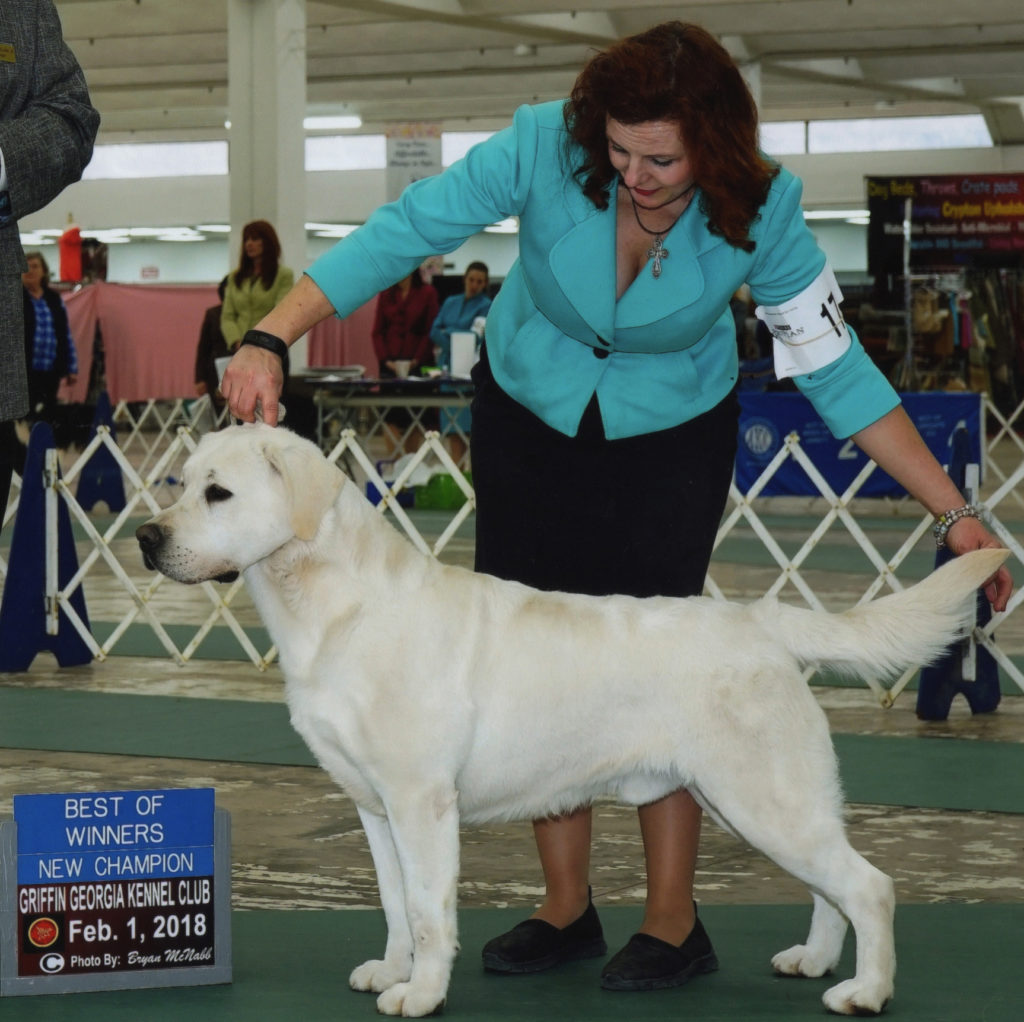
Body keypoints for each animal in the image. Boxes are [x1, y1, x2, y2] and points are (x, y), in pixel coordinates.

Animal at [138, 423, 1007, 1015]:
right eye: (179, 482)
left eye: (218, 493)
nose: (147, 536)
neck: (332, 606)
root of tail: (763, 622)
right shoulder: (373, 805)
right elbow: (392, 901)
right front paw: (391, 970)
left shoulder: (421, 802)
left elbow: (426, 907)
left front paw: (421, 993)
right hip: (765, 801)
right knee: (833, 888)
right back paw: (817, 962)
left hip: (763, 797)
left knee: (872, 887)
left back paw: (866, 991)